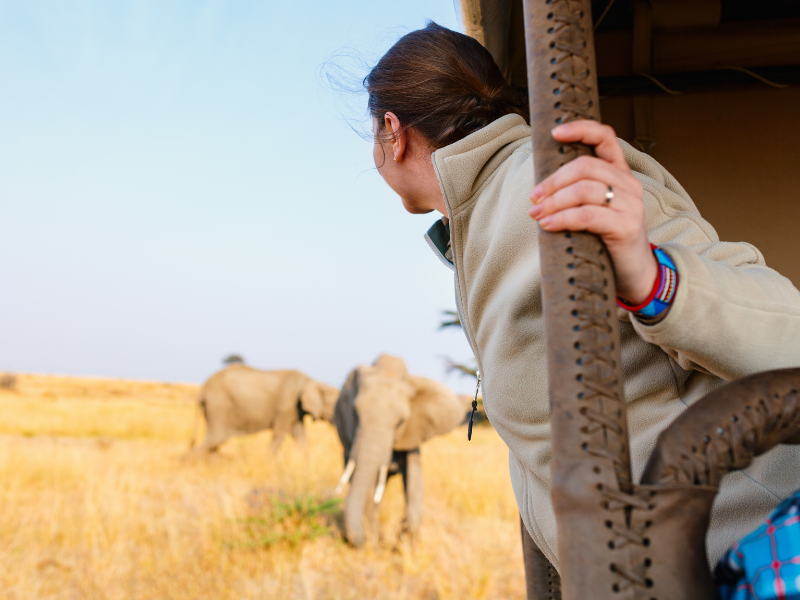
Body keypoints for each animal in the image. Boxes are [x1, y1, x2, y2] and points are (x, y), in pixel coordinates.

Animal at [191, 364, 339, 453]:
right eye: (333, 405)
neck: (312, 381)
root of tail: (203, 390)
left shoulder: (295, 410)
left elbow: (299, 435)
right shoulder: (287, 405)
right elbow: (279, 434)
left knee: (213, 443)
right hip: (218, 407)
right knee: (215, 440)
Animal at [333, 354, 469, 547]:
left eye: (400, 422)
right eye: (355, 414)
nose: (356, 541)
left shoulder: (413, 431)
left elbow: (414, 476)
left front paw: (403, 542)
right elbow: (368, 486)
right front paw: (373, 542)